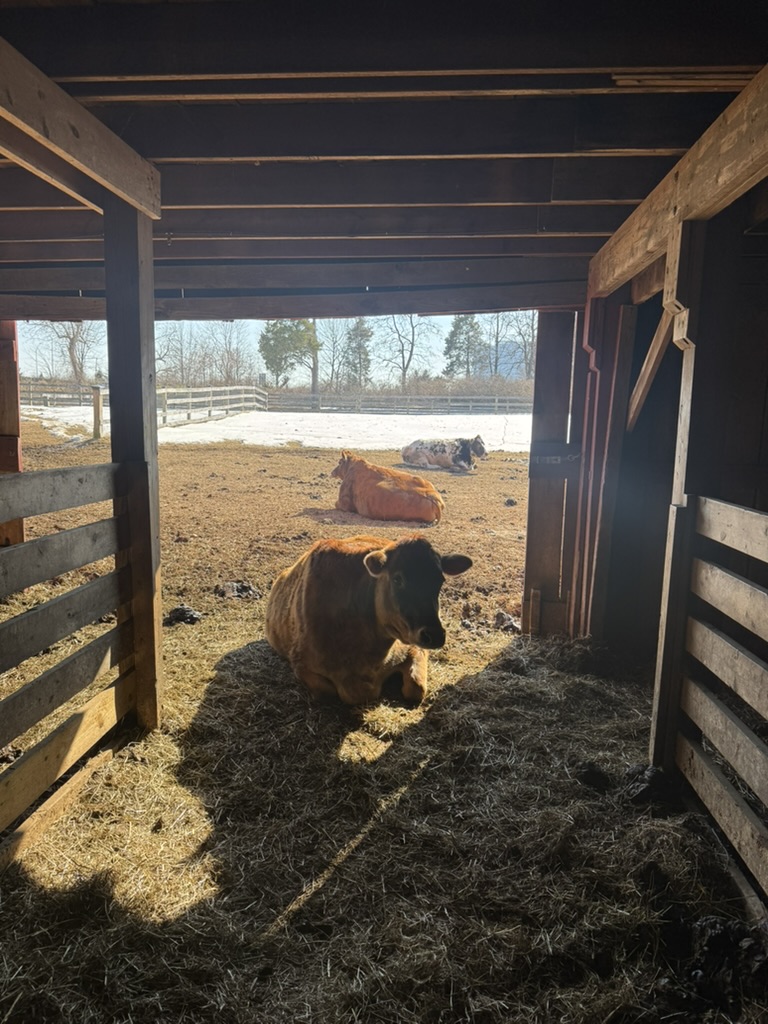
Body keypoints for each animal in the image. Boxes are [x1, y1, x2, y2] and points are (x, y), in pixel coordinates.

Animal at [265, 534, 472, 705]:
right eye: (397, 579)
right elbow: (330, 693)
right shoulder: (301, 664)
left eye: (440, 580)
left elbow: (416, 688)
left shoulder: (412, 645)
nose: (435, 635)